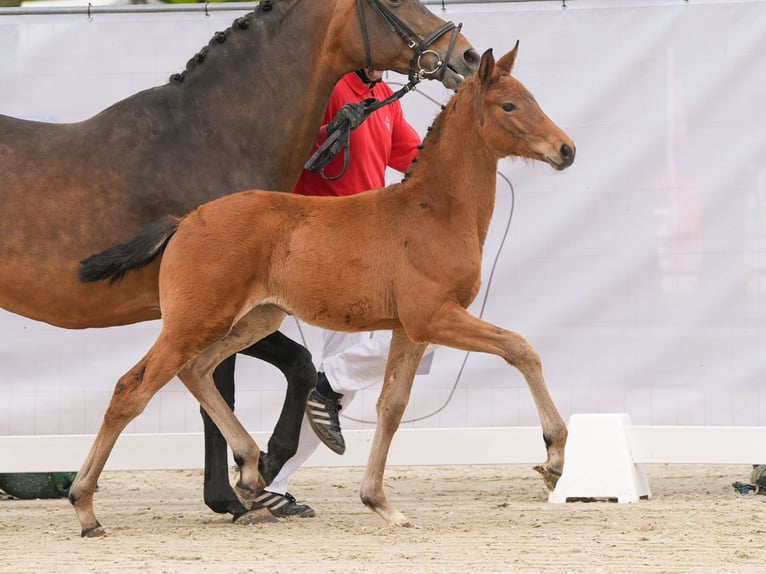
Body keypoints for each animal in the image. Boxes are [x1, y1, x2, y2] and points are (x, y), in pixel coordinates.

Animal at [0, 0, 480, 524]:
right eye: (391, 3)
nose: (467, 55)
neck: (210, 137)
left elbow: (278, 372)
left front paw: (256, 477)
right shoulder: (210, 311)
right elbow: (245, 381)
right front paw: (243, 487)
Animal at [78, 44, 580, 536]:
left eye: (531, 98)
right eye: (509, 105)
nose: (567, 149)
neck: (433, 211)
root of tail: (184, 221)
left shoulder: (410, 329)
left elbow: (392, 406)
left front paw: (380, 503)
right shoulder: (433, 316)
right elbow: (520, 348)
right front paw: (553, 458)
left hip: (253, 318)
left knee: (196, 370)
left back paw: (251, 471)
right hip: (195, 321)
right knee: (131, 389)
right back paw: (86, 508)